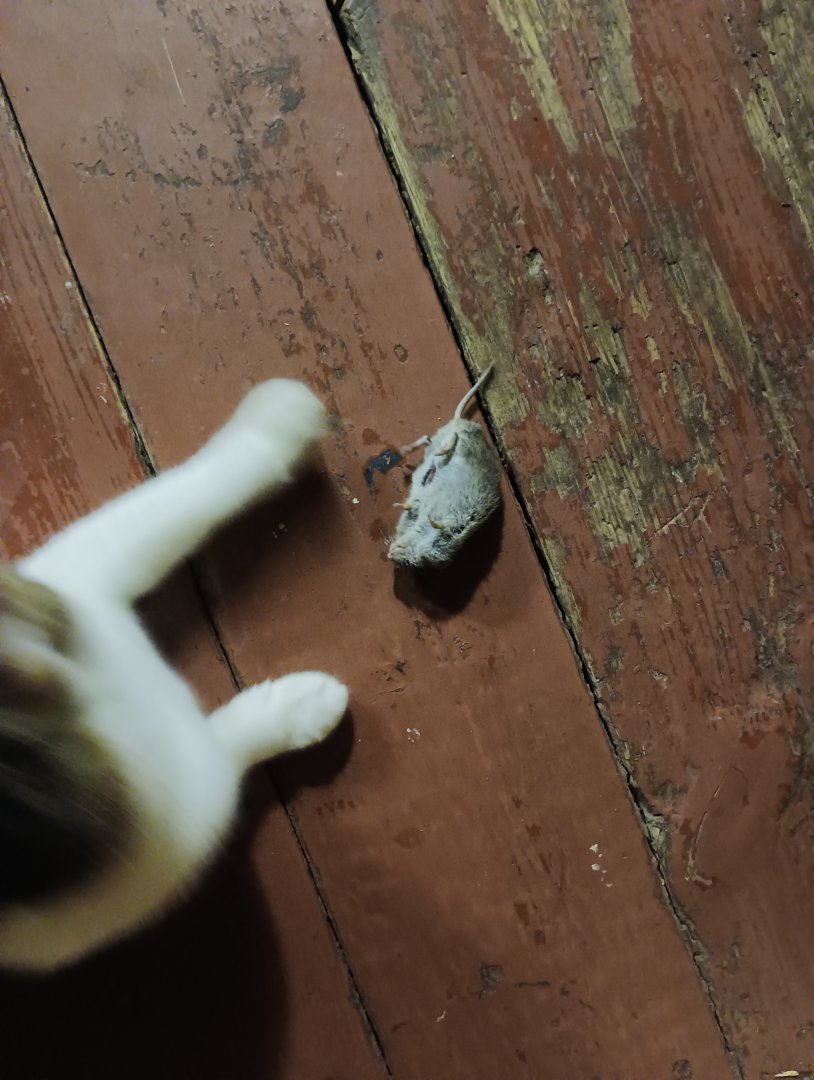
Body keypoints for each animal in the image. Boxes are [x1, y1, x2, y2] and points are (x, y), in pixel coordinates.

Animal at [0, 379, 348, 972]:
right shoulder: (178, 825)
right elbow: (229, 746)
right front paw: (303, 707)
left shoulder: (83, 573)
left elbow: (186, 496)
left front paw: (277, 420)